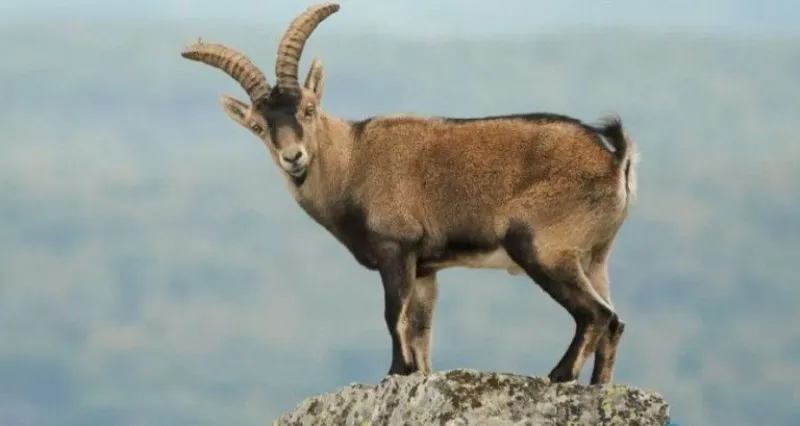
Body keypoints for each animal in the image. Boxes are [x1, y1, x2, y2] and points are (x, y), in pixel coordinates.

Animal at [180, 2, 639, 385]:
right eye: (258, 127)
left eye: (308, 109)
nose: (293, 157)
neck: (353, 161)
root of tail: (615, 159)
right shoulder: (425, 268)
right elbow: (420, 328)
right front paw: (418, 373)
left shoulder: (396, 248)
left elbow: (392, 315)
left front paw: (395, 372)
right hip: (594, 255)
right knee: (614, 321)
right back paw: (599, 387)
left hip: (542, 247)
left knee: (595, 314)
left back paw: (558, 375)